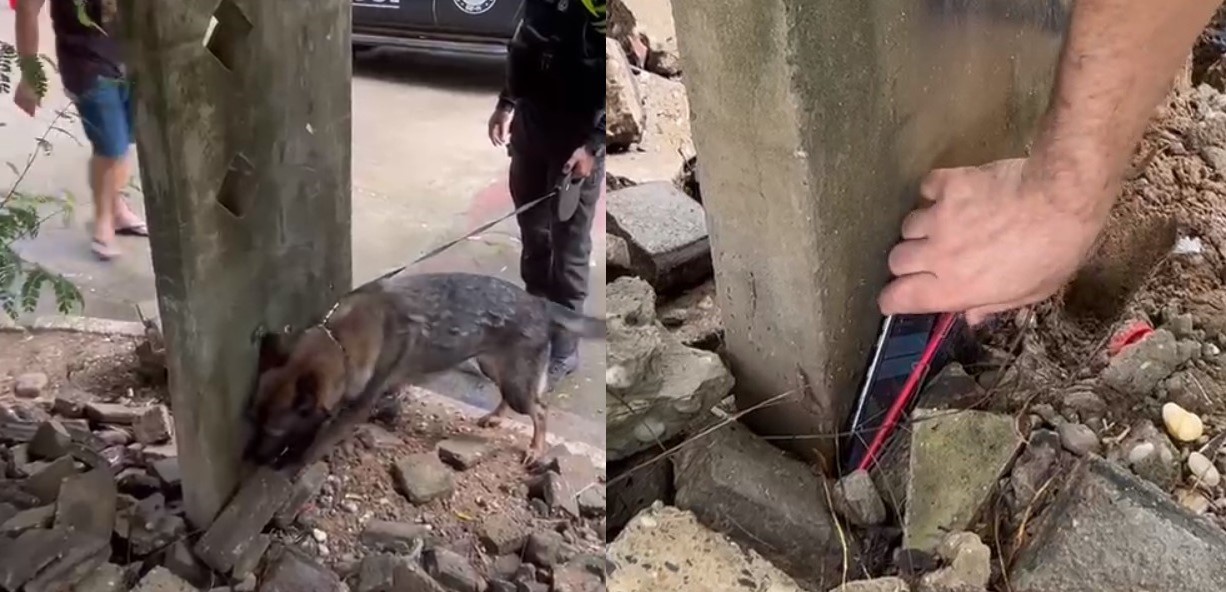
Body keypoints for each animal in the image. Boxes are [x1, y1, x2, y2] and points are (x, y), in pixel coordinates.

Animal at [246, 272, 605, 473]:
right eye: (256, 422)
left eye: (275, 431)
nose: (255, 459)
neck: (340, 342)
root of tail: (538, 301)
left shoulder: (356, 408)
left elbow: (322, 439)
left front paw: (297, 460)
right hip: (494, 368)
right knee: (514, 396)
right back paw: (495, 416)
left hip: (516, 384)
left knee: (540, 410)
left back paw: (536, 447)